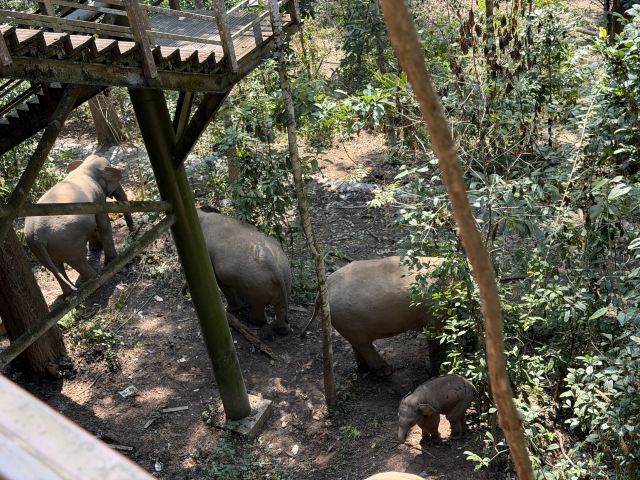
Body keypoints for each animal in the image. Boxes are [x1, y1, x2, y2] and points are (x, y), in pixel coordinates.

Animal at [24, 154, 133, 296]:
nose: (133, 231)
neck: (84, 167)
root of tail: (36, 237)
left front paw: (96, 249)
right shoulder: (98, 199)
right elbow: (103, 224)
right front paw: (112, 260)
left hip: (39, 249)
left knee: (55, 267)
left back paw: (69, 294)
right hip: (67, 242)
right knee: (78, 261)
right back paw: (97, 280)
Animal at [303, 256, 446, 375]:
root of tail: (323, 291)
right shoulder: (433, 310)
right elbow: (435, 335)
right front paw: (437, 372)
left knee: (357, 344)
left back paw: (364, 369)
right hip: (346, 319)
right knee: (364, 345)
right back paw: (386, 371)